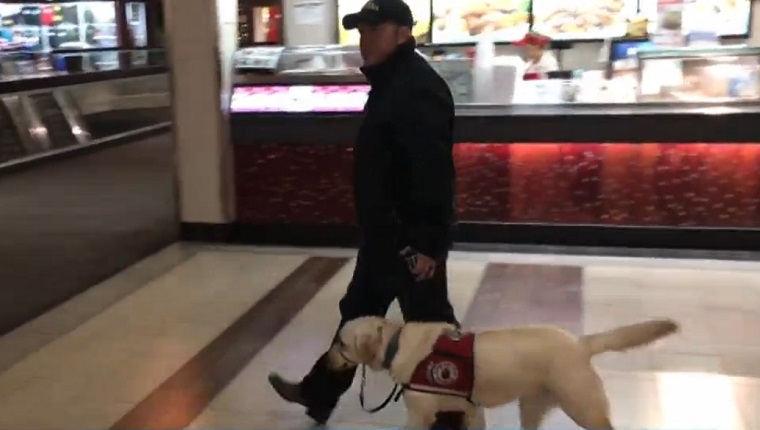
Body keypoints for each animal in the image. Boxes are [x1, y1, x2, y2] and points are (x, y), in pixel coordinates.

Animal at [326, 316, 676, 430]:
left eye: (340, 343)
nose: (326, 361)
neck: (395, 342)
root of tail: (580, 342)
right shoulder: (471, 410)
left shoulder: (420, 416)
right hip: (532, 406)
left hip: (583, 407)